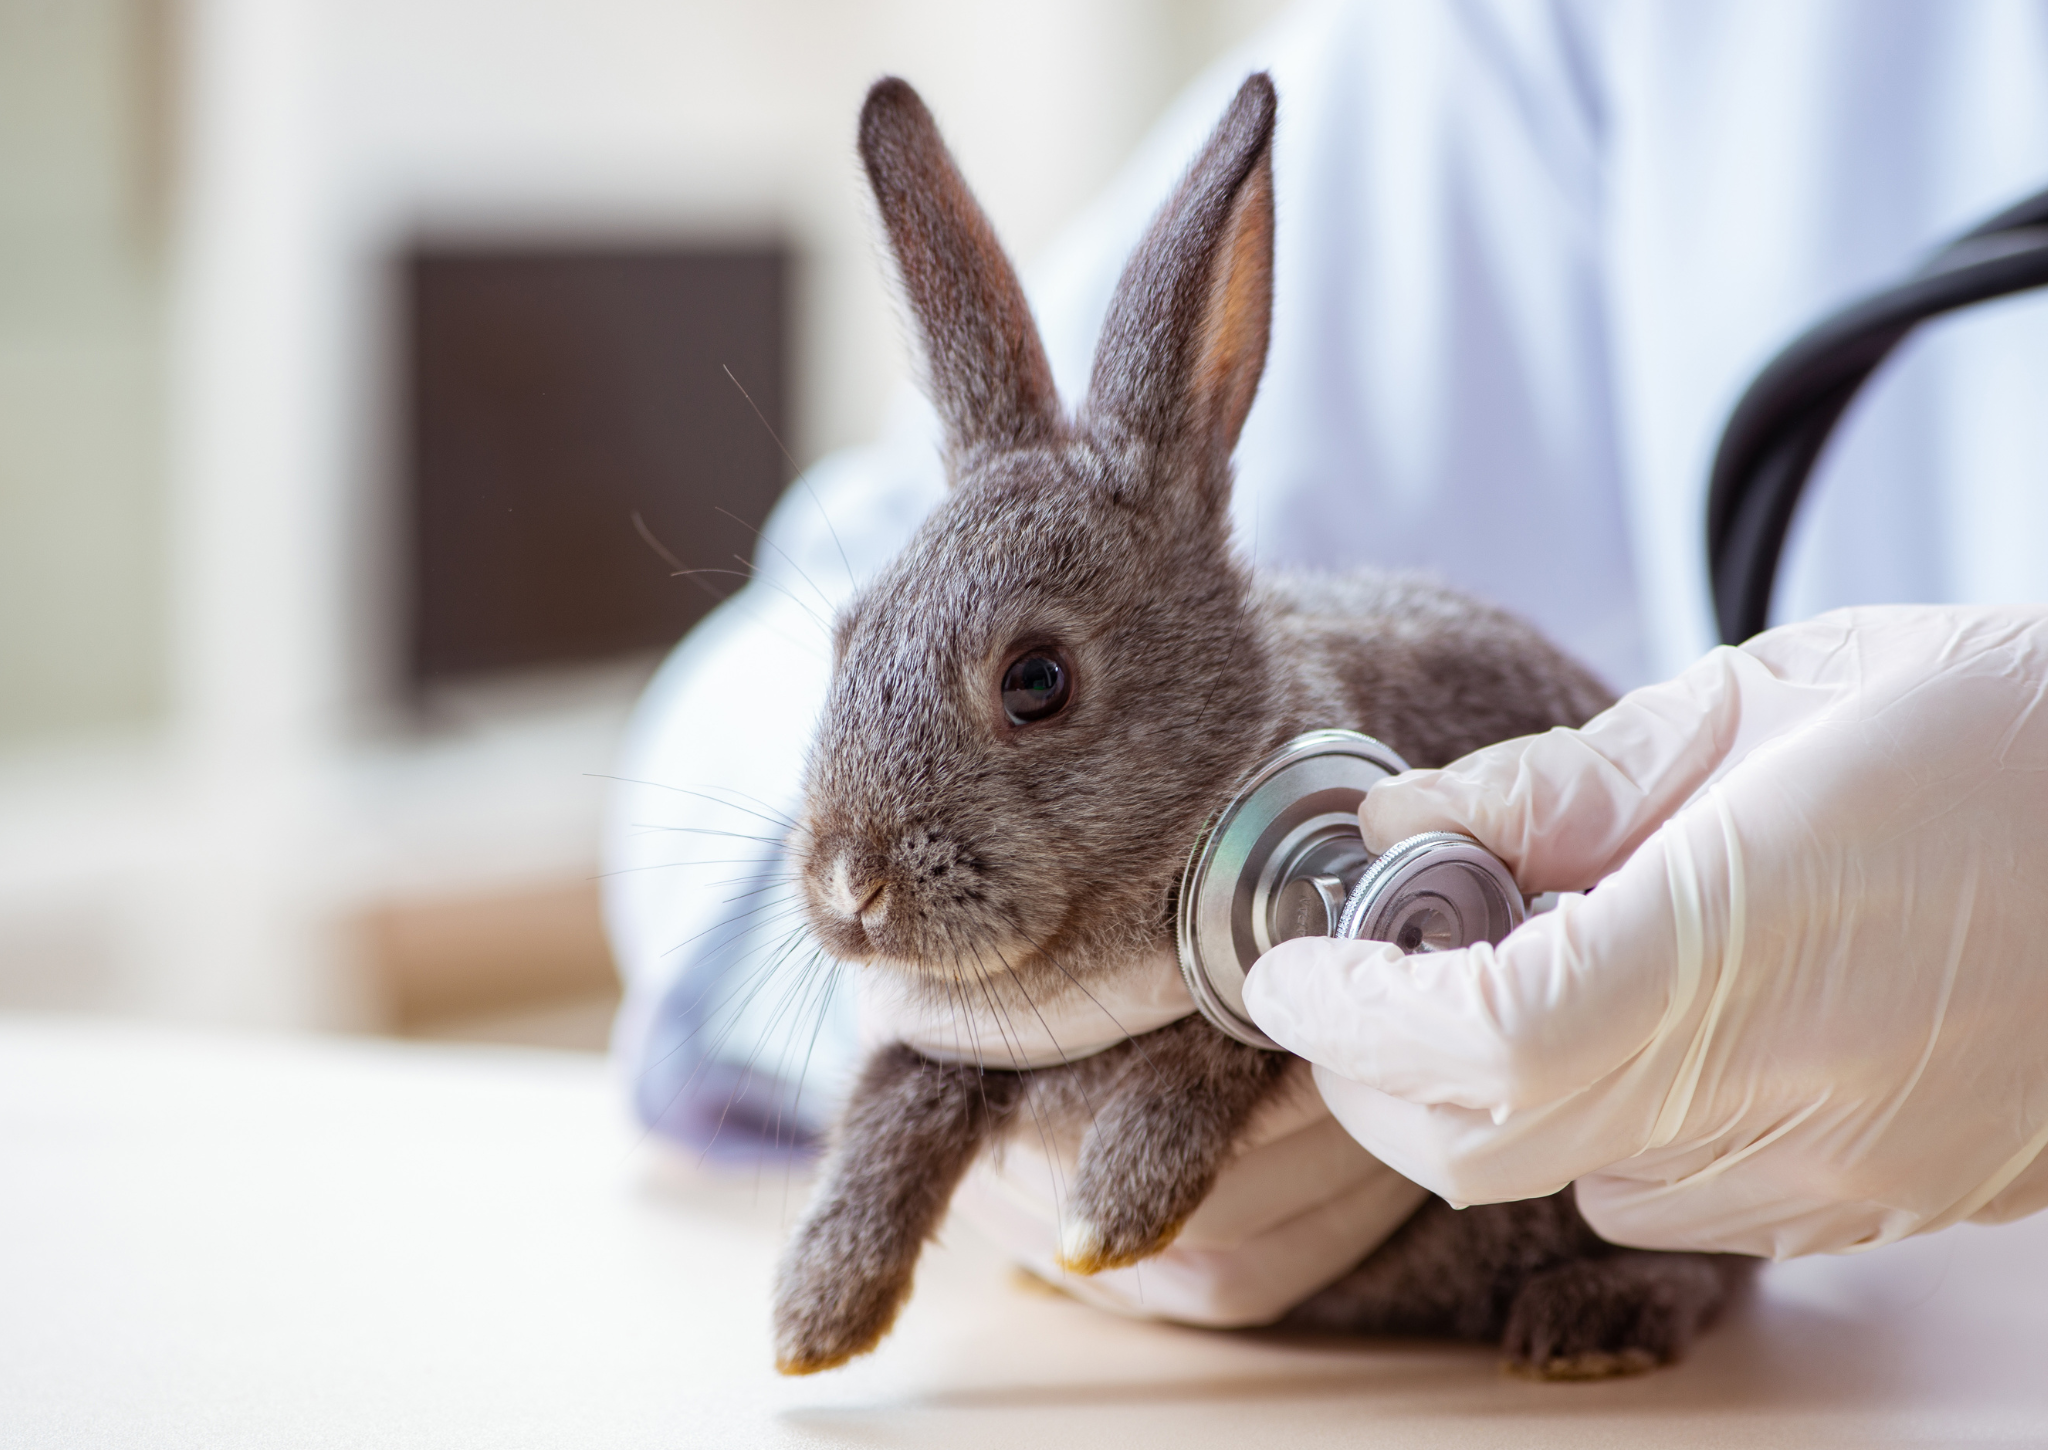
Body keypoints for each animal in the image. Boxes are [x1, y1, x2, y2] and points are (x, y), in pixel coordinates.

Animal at [770, 71, 1751, 1380]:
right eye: (845, 635)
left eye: (1035, 679)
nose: (848, 884)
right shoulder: (949, 1048)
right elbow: (894, 1100)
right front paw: (814, 1315)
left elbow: (1227, 1045)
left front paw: (1108, 1214)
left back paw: (1588, 1321)